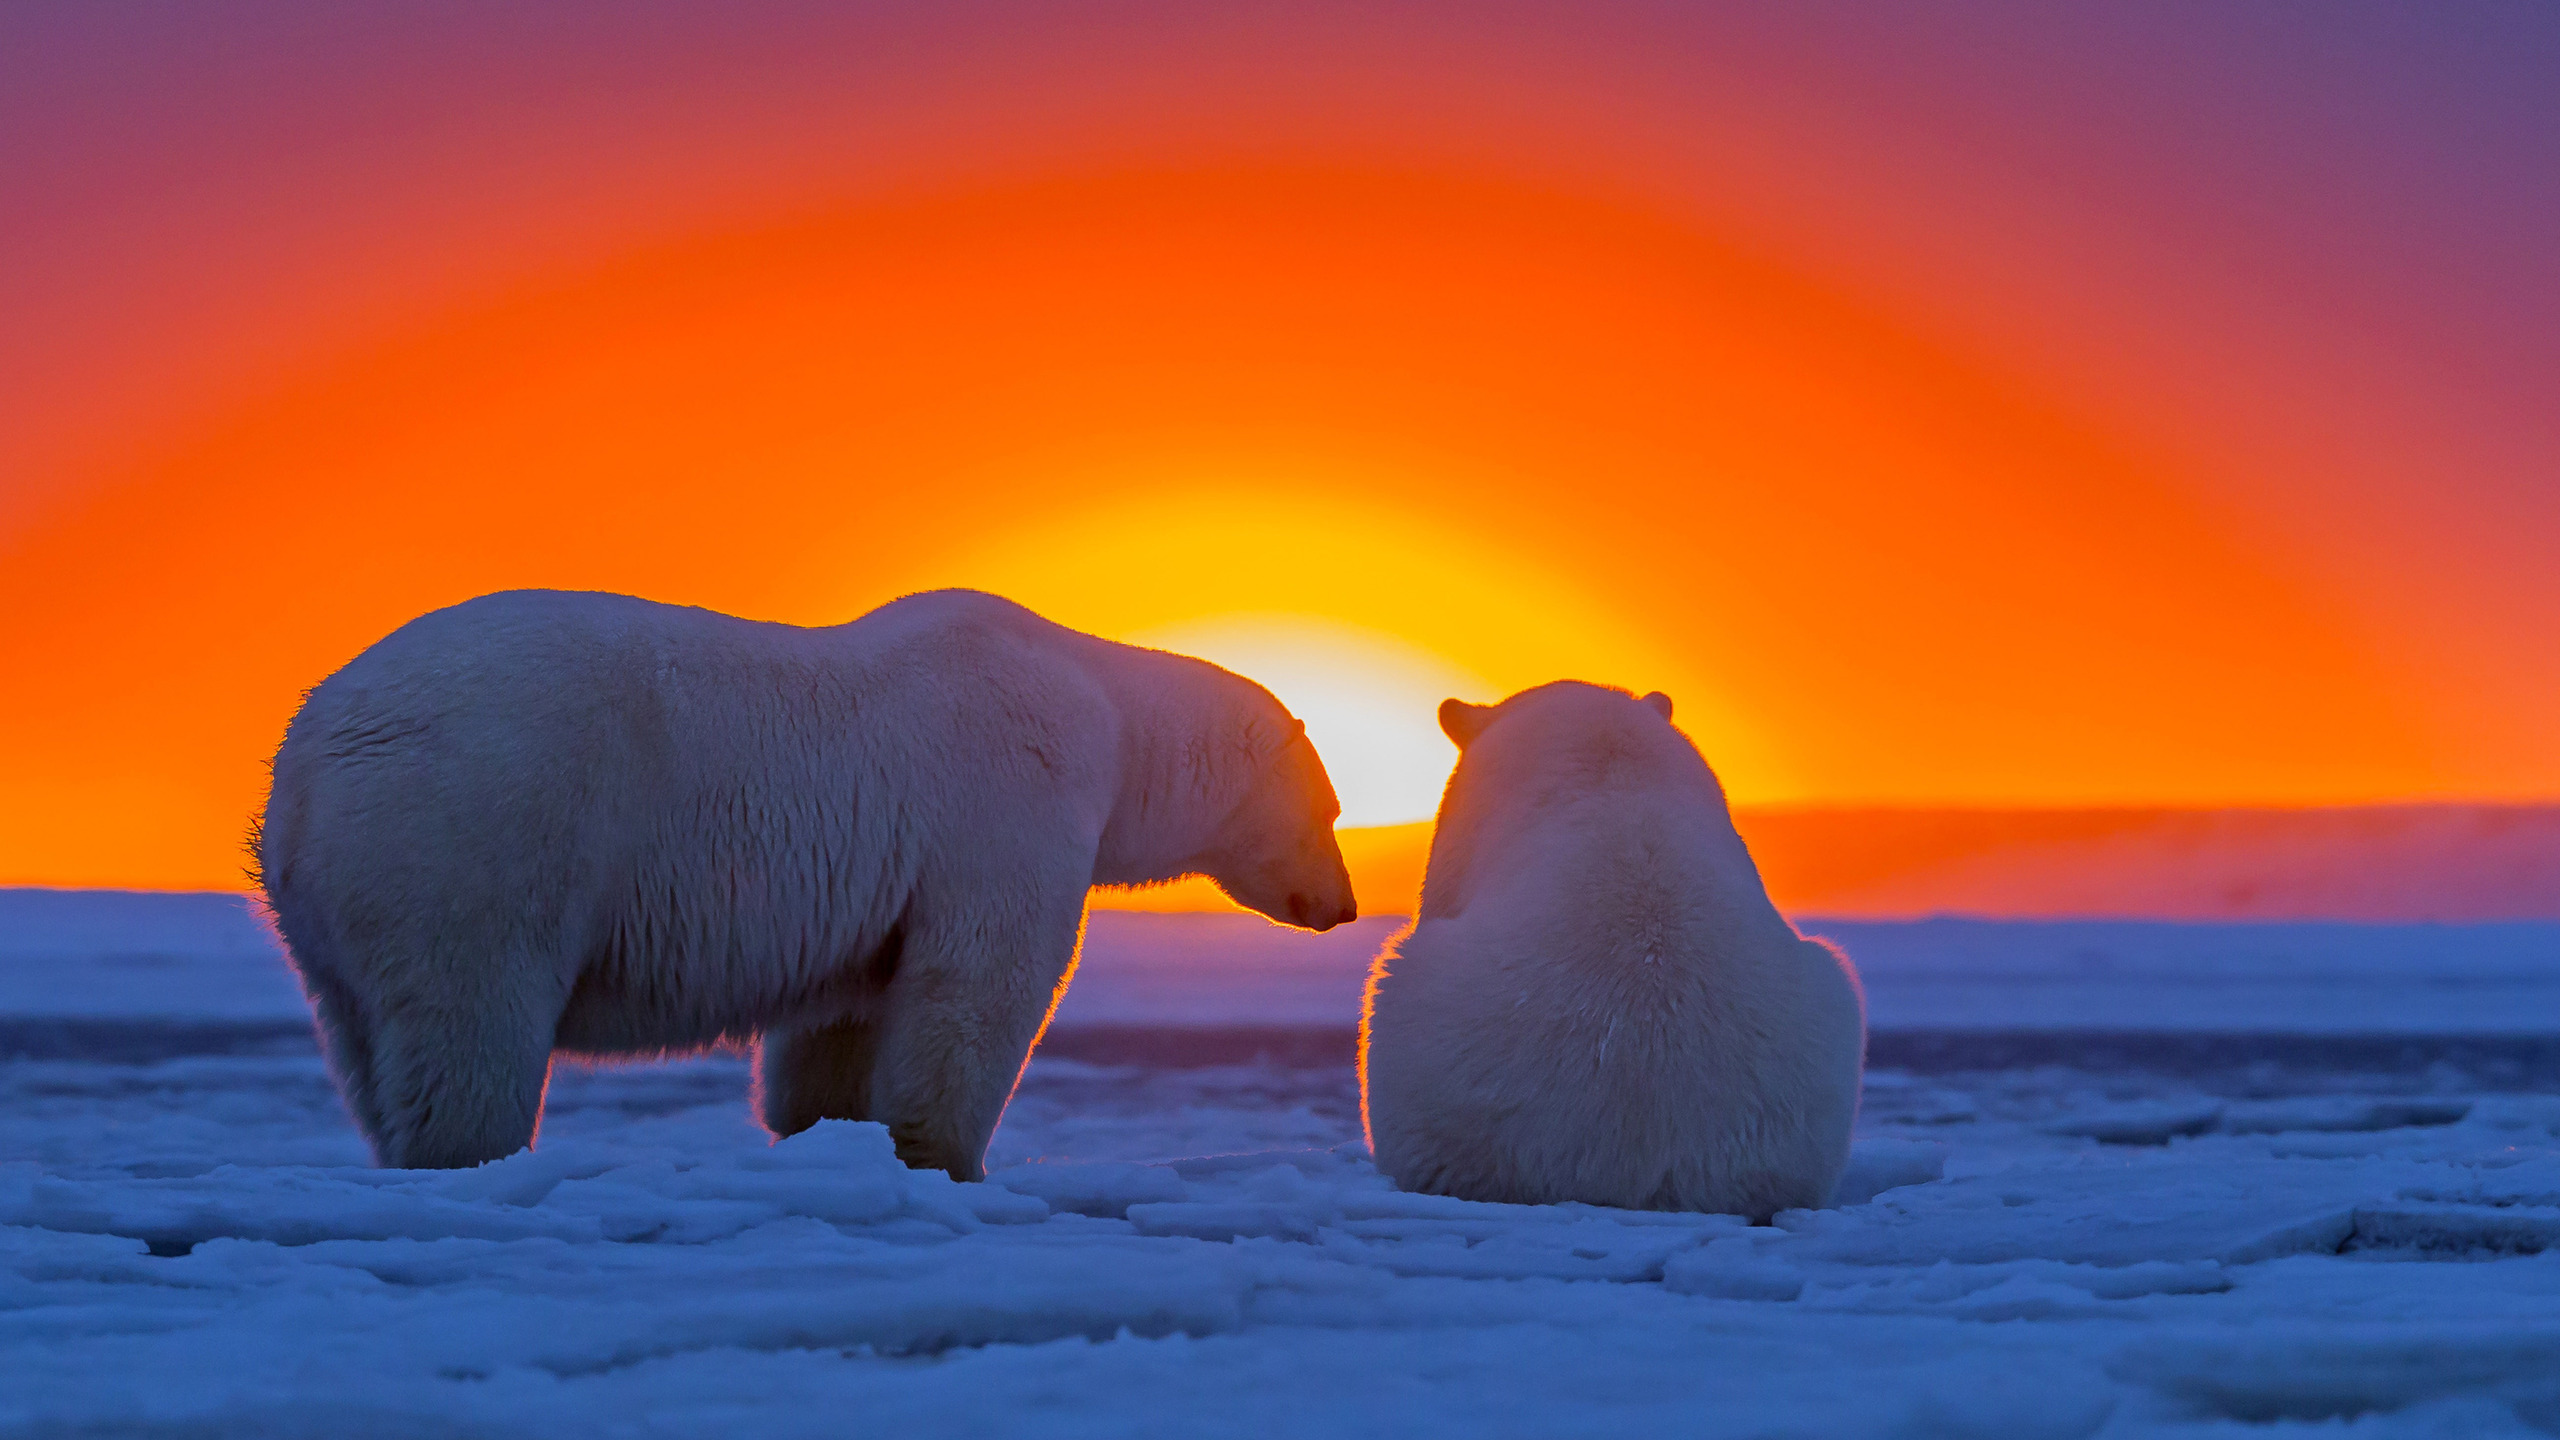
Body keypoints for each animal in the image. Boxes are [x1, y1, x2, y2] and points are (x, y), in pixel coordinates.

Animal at [255, 588, 1356, 1176]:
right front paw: (950, 1159)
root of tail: (308, 759)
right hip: (479, 830)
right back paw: (471, 1155)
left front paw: (831, 1132)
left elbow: (845, 1020)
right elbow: (979, 986)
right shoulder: (1009, 800)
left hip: (334, 914)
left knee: (366, 1041)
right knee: (472, 1020)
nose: (1342, 906)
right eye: (1332, 810)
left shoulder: (880, 893)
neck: (1109, 716)